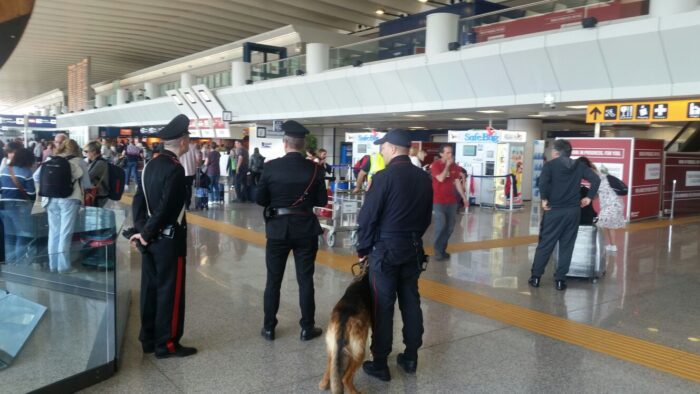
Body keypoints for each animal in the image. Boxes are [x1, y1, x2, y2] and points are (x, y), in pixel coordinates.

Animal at [322, 260, 374, 392]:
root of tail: (344, 318)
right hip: (359, 351)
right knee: (346, 378)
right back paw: (355, 392)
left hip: (332, 346)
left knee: (330, 367)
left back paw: (324, 384)